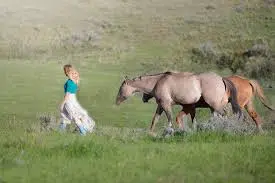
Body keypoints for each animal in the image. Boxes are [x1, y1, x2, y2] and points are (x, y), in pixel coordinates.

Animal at [115, 71, 243, 134]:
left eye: (121, 88)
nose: (116, 101)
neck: (158, 81)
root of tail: (221, 78)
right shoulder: (161, 106)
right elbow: (155, 119)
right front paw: (150, 133)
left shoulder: (166, 105)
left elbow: (170, 119)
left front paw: (169, 131)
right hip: (214, 107)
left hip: (215, 105)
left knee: (224, 115)